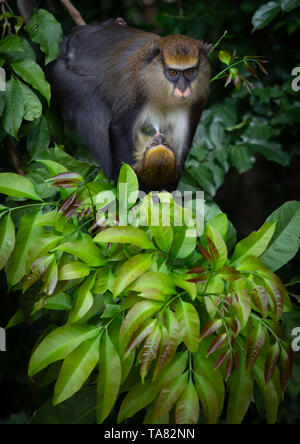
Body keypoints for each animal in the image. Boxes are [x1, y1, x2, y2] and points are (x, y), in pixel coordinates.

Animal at [45, 20, 212, 191]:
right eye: (173, 73)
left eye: (190, 72)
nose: (183, 89)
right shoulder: (138, 84)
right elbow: (119, 128)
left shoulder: (197, 100)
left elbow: (185, 141)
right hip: (60, 76)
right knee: (94, 113)